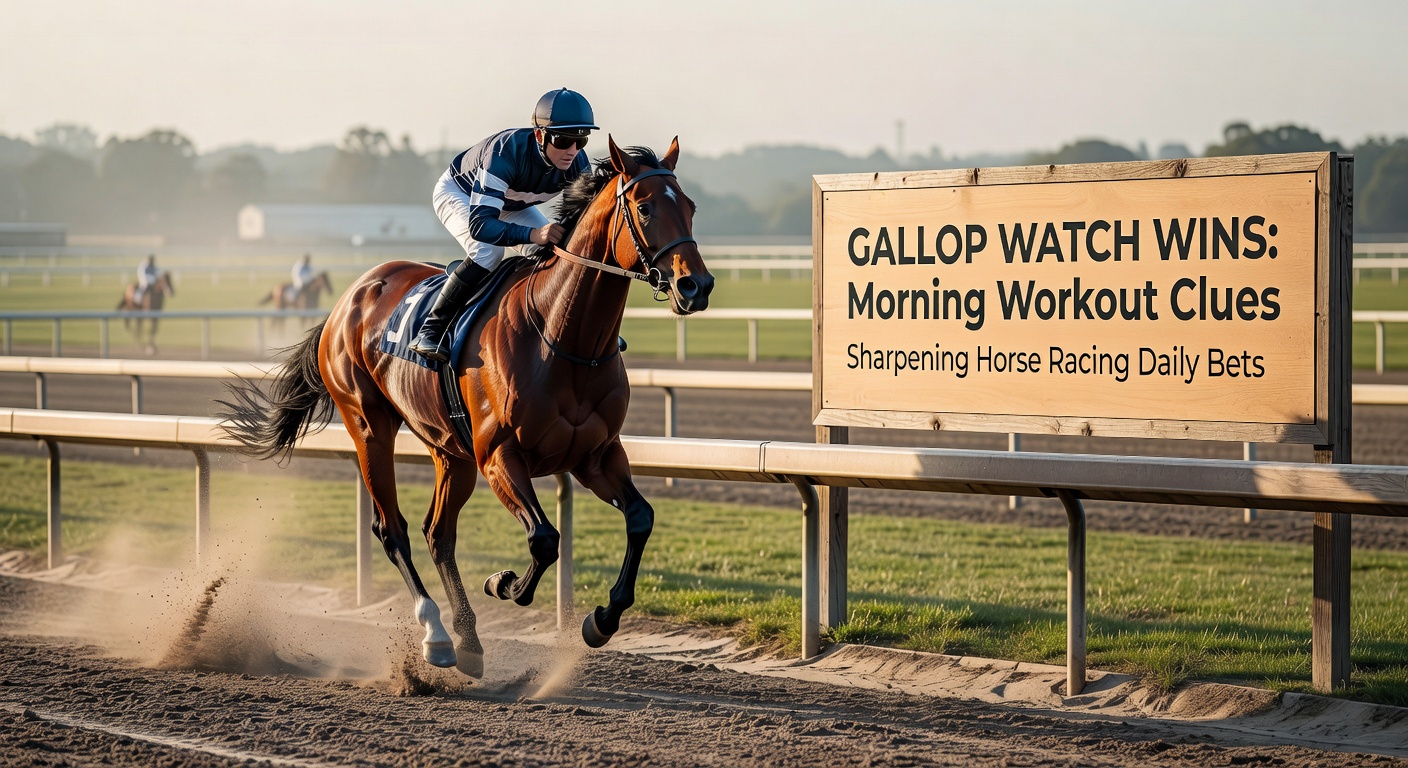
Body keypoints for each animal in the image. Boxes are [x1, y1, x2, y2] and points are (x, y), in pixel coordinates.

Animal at [219, 137, 713, 677]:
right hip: (369, 426)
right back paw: (436, 634)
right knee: (393, 529)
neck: (563, 338)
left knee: (438, 532)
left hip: (449, 450)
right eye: (644, 208)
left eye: (690, 207)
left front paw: (601, 619)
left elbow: (640, 518)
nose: (696, 286)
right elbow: (545, 539)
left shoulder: (596, 455)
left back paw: (470, 640)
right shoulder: (499, 455)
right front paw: (504, 582)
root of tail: (349, 297)